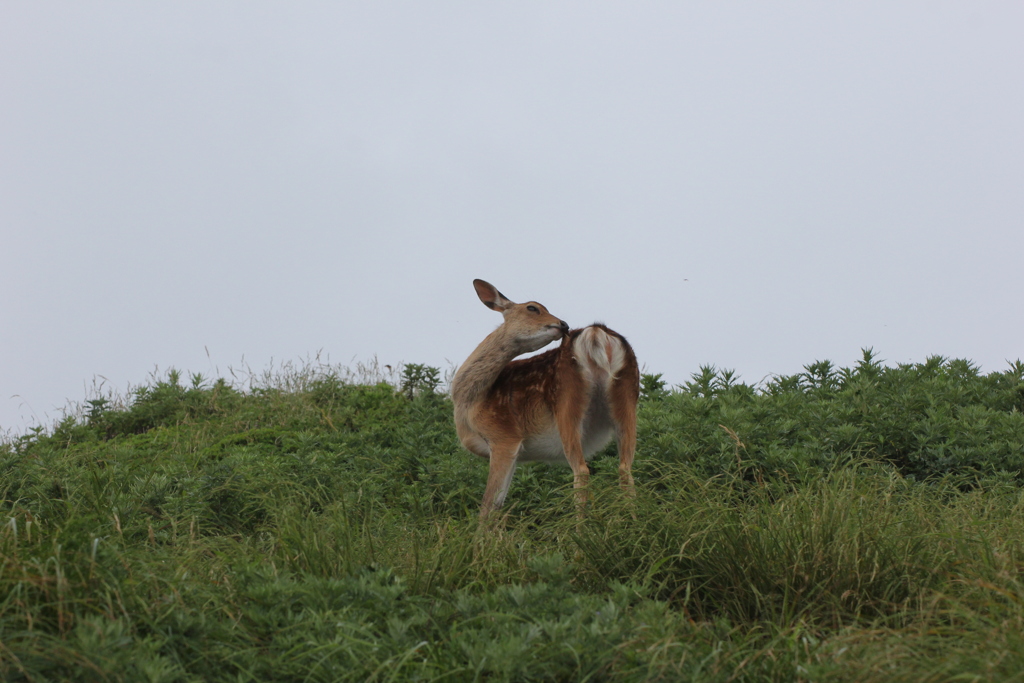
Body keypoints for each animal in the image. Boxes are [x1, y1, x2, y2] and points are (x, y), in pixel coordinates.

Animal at [452, 278, 634, 518]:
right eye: (533, 308)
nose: (563, 324)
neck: (472, 402)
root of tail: (596, 333)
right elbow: (499, 503)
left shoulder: (504, 437)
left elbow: (488, 504)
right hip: (628, 397)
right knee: (625, 468)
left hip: (568, 403)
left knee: (582, 470)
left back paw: (581, 526)